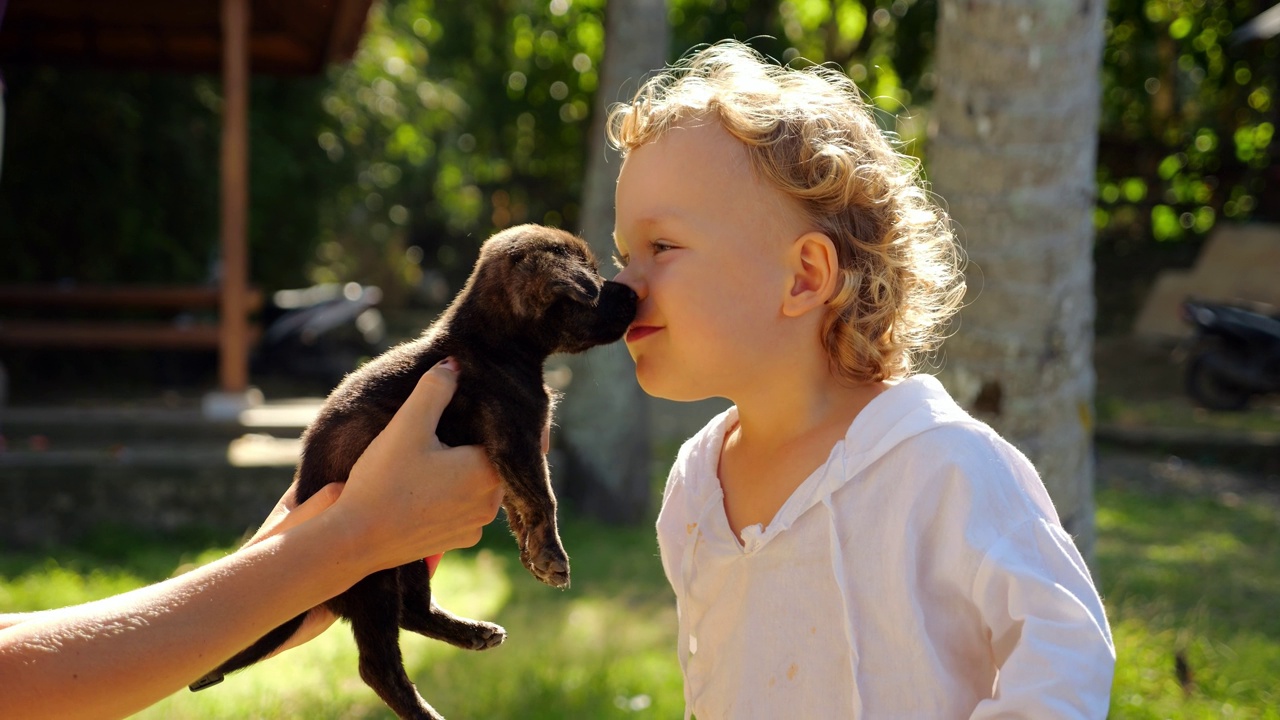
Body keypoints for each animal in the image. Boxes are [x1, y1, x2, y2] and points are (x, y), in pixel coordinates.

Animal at [190, 224, 640, 717]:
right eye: (593, 281)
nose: (635, 293)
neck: (493, 345)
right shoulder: (514, 437)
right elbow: (543, 497)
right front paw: (551, 555)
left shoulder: (509, 453)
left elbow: (520, 506)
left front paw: (532, 554)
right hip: (374, 577)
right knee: (376, 665)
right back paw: (425, 709)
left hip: (410, 559)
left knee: (415, 611)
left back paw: (473, 633)